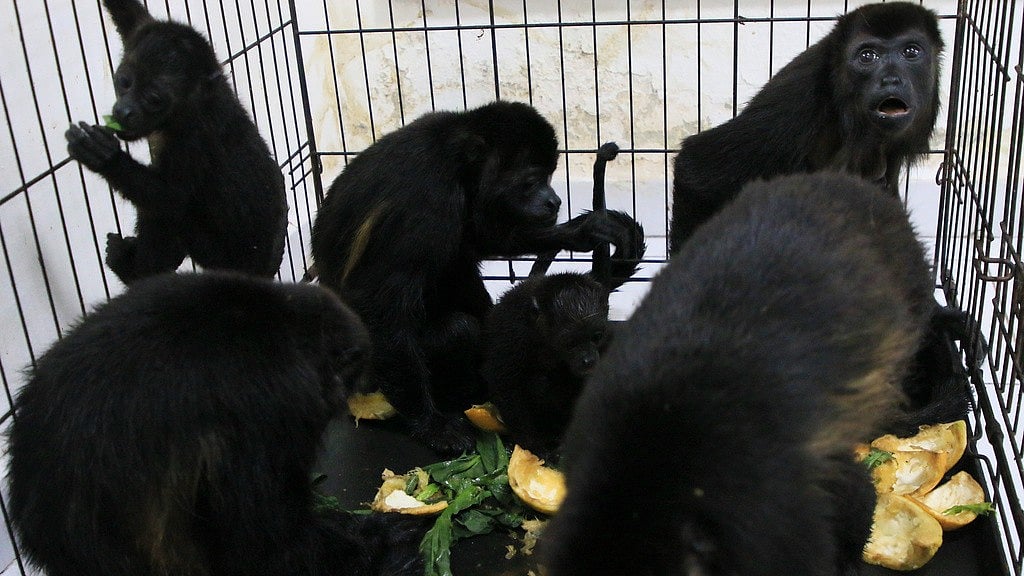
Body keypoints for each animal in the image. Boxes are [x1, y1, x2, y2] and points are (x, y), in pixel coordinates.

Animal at [65, 0, 287, 284]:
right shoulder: (144, 29)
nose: (124, 111)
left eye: (153, 99)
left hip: (218, 257)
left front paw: (104, 156)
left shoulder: (194, 139)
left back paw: (135, 273)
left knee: (168, 216)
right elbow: (127, 13)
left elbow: (171, 199)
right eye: (124, 82)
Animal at [310, 101, 630, 454]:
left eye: (549, 176)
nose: (554, 200)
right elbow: (379, 306)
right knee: (457, 327)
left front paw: (578, 233)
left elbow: (478, 238)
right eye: (532, 181)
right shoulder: (427, 202)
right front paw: (433, 426)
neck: (455, 157)